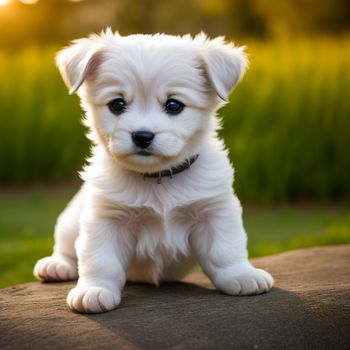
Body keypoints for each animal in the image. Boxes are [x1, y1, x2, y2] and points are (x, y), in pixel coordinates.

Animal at [33, 30, 274, 314]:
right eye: (117, 104)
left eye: (173, 105)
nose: (142, 136)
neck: (157, 178)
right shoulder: (105, 220)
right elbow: (100, 260)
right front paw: (94, 290)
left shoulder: (215, 212)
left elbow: (226, 250)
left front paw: (242, 275)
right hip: (71, 221)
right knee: (67, 248)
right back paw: (56, 265)